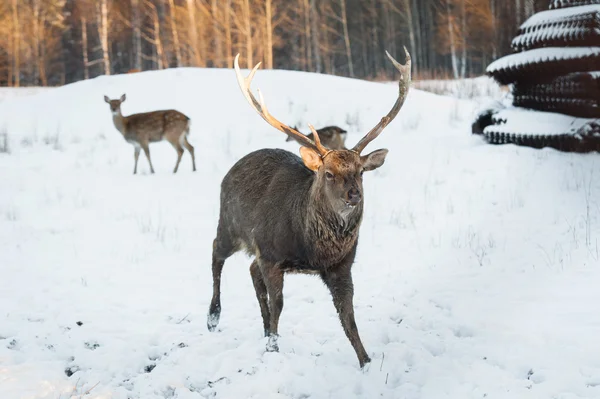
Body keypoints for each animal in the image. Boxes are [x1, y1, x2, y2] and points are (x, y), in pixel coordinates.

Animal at [207, 49, 412, 368]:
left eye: (360, 171)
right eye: (328, 173)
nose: (354, 195)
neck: (313, 248)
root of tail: (232, 169)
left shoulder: (341, 265)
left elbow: (348, 316)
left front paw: (366, 362)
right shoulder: (271, 254)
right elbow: (278, 304)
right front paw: (274, 348)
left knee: (251, 270)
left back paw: (262, 330)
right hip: (230, 224)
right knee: (216, 251)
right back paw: (213, 317)